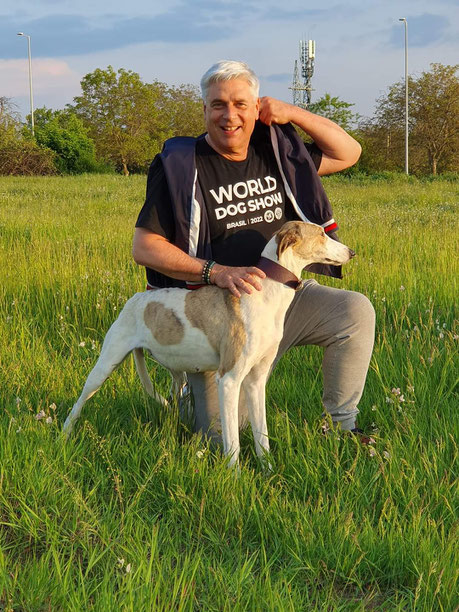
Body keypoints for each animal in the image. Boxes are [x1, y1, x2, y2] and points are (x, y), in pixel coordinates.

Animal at [62, 222, 356, 466]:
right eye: (321, 234)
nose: (352, 252)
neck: (266, 293)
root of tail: (136, 298)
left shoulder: (255, 381)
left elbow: (262, 438)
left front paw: (268, 472)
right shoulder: (229, 380)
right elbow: (232, 443)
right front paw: (236, 480)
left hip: (175, 374)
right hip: (105, 365)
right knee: (78, 404)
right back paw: (64, 435)